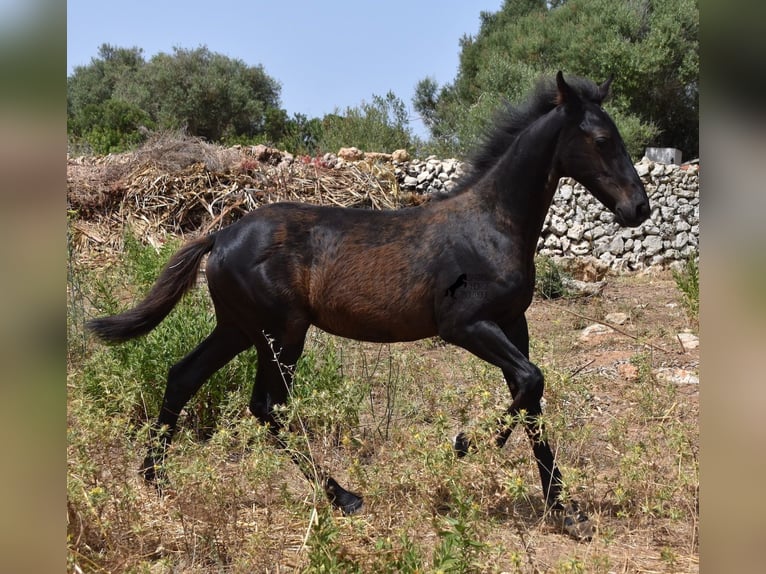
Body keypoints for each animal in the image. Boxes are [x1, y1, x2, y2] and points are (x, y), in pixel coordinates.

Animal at [88, 72, 648, 540]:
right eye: (602, 140)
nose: (638, 209)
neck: (492, 224)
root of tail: (220, 236)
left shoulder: (515, 323)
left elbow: (532, 397)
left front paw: (566, 513)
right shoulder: (464, 324)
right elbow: (530, 382)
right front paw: (466, 442)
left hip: (238, 329)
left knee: (184, 376)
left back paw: (155, 479)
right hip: (282, 333)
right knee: (269, 406)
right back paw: (344, 496)